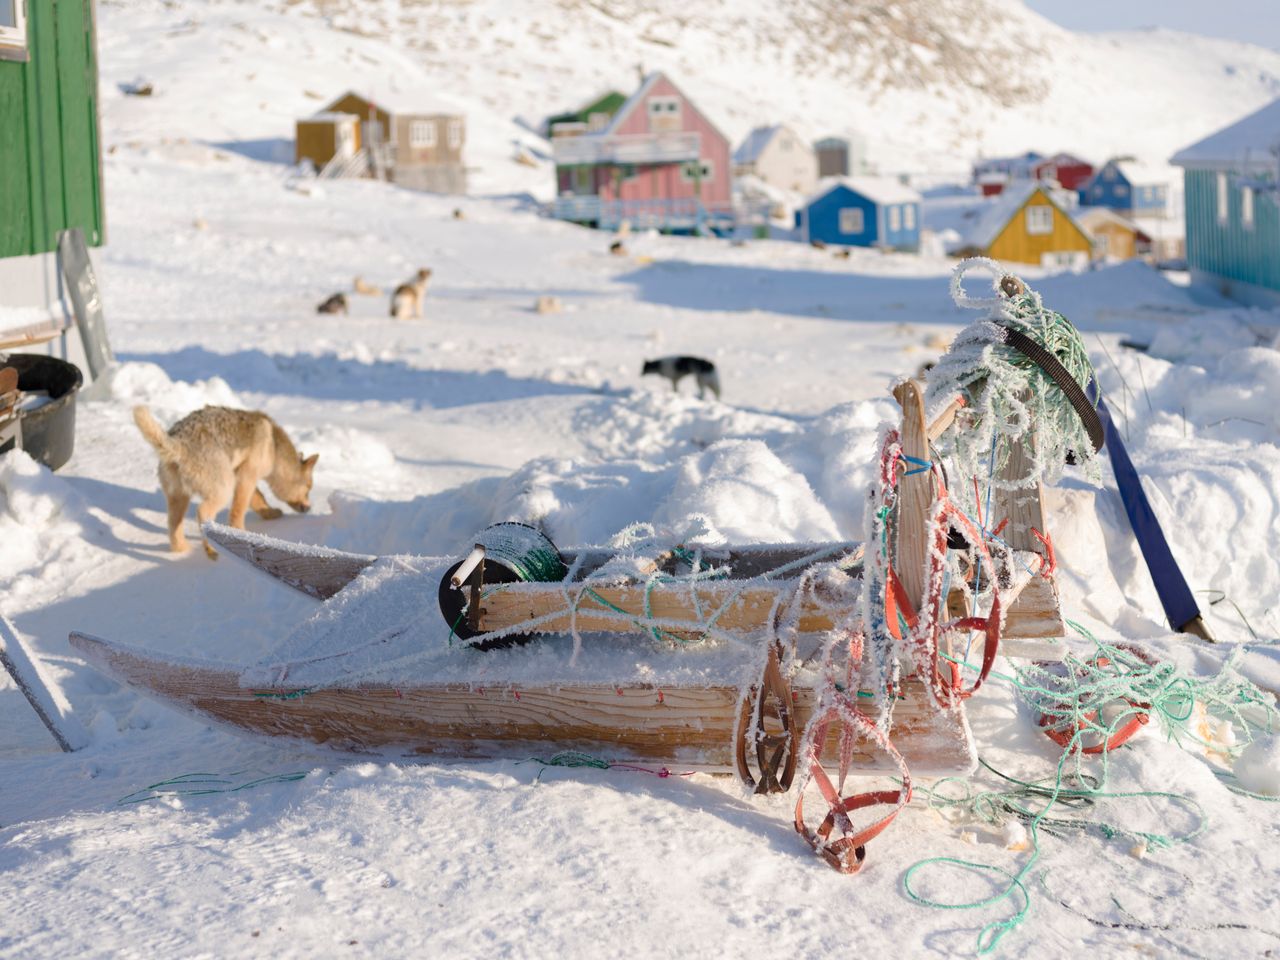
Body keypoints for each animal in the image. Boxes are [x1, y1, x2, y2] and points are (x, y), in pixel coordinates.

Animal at [133, 407, 320, 560]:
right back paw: (210, 548)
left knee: (173, 527)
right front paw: (241, 534)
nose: (309, 508)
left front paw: (270, 513)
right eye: (308, 489)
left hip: (178, 498)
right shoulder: (246, 477)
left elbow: (258, 500)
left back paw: (183, 550)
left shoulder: (243, 477)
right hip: (223, 491)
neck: (275, 448)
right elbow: (239, 510)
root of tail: (180, 444)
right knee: (203, 513)